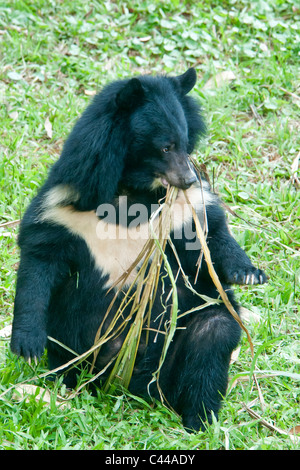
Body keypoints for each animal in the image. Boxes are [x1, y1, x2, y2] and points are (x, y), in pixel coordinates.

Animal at [10, 68, 268, 432]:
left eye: (185, 143)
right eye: (165, 147)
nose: (189, 179)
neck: (131, 190)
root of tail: (133, 383)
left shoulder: (183, 212)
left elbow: (211, 238)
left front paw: (249, 274)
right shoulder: (62, 208)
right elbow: (39, 262)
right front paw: (27, 346)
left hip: (179, 348)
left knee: (213, 337)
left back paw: (200, 419)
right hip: (72, 335)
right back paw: (63, 384)